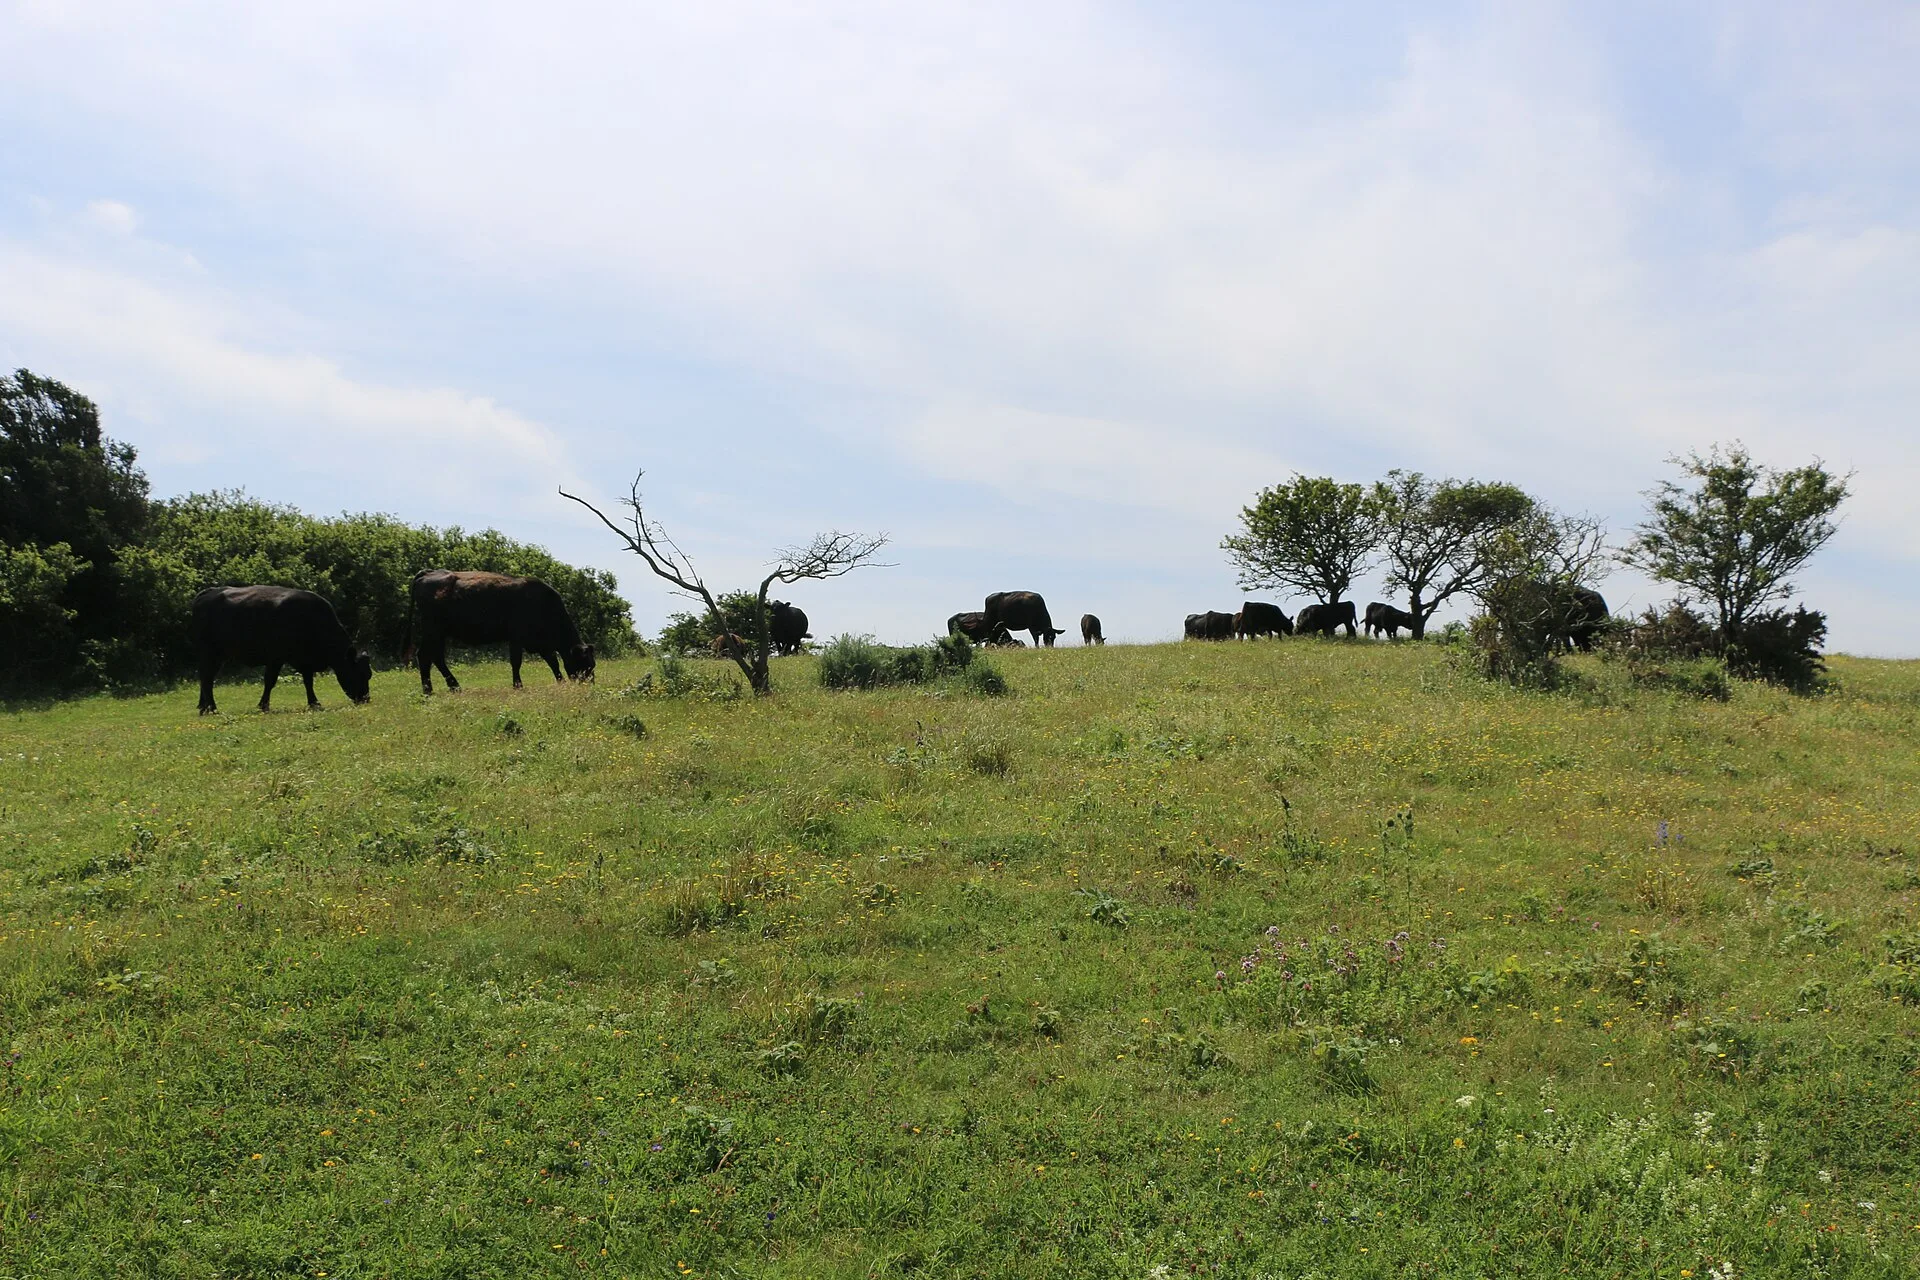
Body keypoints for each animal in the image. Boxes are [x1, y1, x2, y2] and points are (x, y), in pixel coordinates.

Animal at [192, 585, 372, 715]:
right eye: (359, 673)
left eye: (369, 674)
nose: (366, 699)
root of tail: (209, 592)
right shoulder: (276, 658)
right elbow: (270, 681)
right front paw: (263, 706)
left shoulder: (305, 660)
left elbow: (308, 682)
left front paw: (314, 703)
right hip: (209, 652)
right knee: (206, 678)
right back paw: (212, 709)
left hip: (218, 655)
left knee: (207, 678)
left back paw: (203, 707)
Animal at [403, 569, 595, 694]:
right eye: (586, 664)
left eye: (593, 665)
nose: (590, 684)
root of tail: (428, 573)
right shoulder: (517, 638)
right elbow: (516, 662)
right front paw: (518, 685)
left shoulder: (540, 643)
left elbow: (553, 662)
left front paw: (560, 681)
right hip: (433, 630)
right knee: (425, 655)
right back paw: (429, 690)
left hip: (439, 633)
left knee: (435, 657)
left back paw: (453, 687)